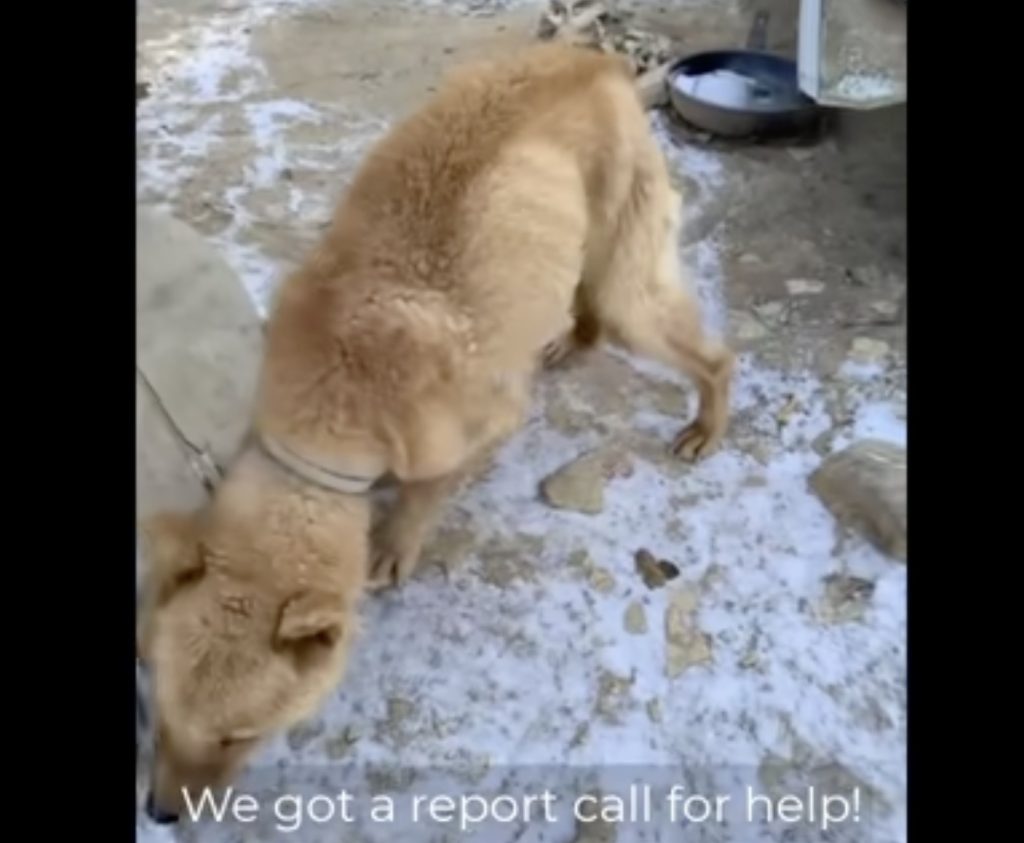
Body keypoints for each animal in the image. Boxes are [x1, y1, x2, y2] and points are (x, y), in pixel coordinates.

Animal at [137, 42, 734, 824]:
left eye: (242, 736)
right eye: (161, 712)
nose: (160, 815)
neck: (335, 398)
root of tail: (586, 56)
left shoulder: (478, 425)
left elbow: (425, 494)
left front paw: (397, 543)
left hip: (631, 283)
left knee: (705, 352)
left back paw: (707, 422)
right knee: (590, 313)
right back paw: (571, 341)